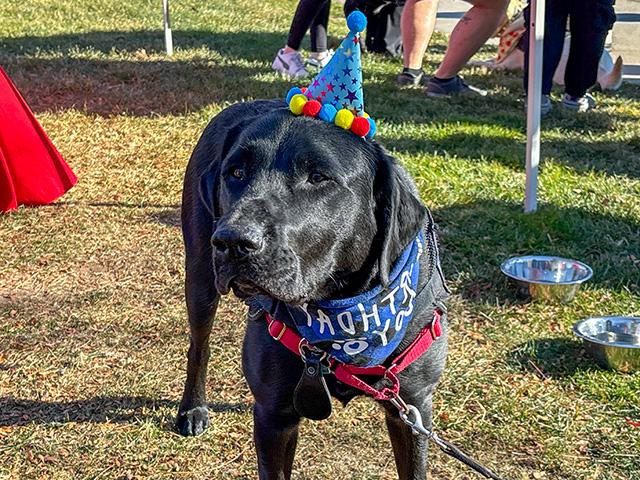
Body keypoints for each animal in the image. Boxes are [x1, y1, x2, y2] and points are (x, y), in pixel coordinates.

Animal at [176, 99, 450, 478]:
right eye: (236, 173)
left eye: (319, 177)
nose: (232, 242)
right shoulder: (273, 416)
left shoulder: (412, 408)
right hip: (201, 277)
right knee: (199, 346)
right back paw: (193, 409)